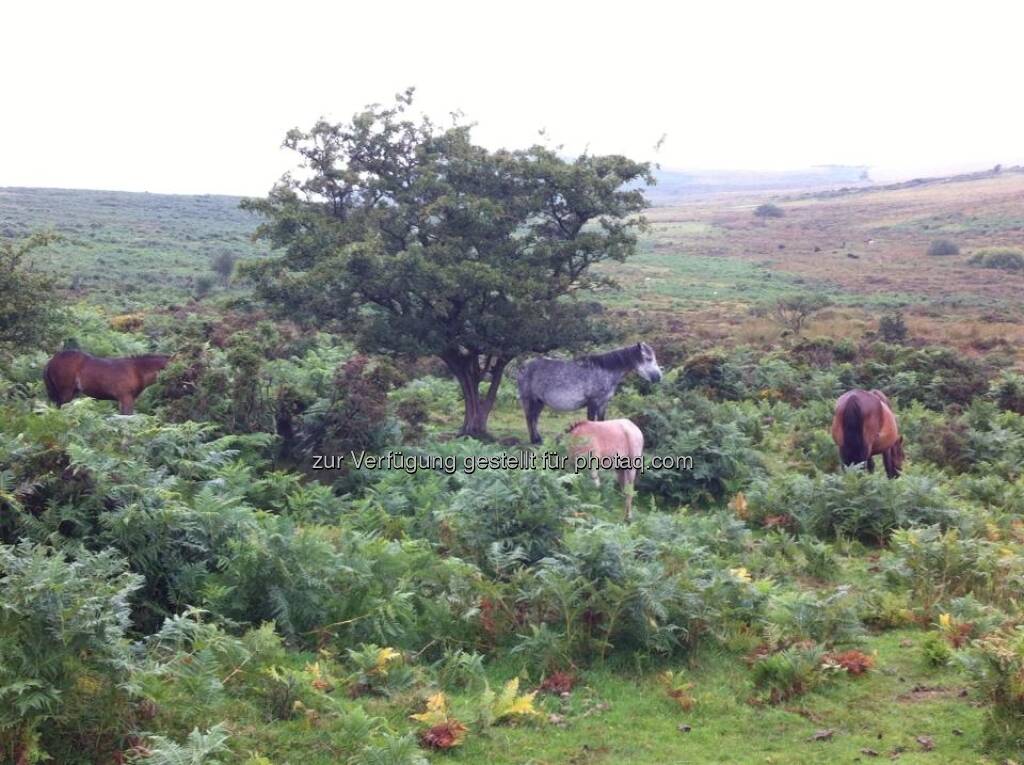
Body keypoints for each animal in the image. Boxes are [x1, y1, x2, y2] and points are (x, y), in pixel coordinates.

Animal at [520, 346, 663, 446]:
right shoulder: (593, 402)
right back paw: (534, 440)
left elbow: (601, 421)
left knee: (534, 418)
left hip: (539, 402)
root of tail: (524, 367)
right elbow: (591, 422)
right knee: (530, 418)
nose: (658, 377)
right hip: (530, 400)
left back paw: (538, 439)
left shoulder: (603, 403)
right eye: (648, 358)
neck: (605, 371)